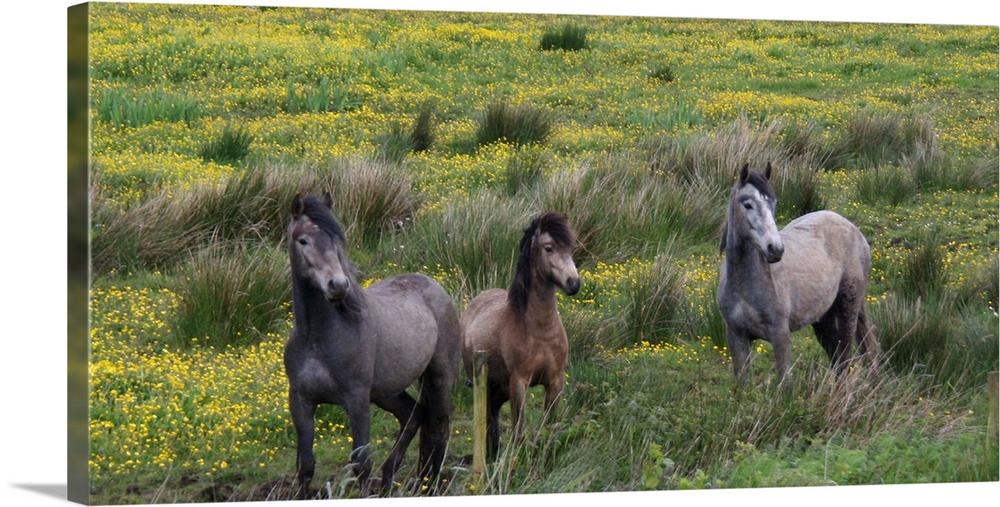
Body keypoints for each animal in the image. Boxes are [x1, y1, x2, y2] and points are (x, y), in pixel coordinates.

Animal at [284, 194, 458, 500]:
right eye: (303, 240)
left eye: (336, 239)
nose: (337, 285)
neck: (317, 338)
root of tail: (434, 285)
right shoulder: (301, 400)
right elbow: (306, 465)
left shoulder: (357, 399)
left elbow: (361, 462)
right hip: (386, 392)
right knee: (413, 416)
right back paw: (389, 479)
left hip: (438, 378)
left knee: (439, 427)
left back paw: (430, 483)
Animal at [458, 212, 580, 458]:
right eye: (549, 248)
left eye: (570, 248)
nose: (574, 283)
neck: (540, 332)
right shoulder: (519, 382)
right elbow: (518, 430)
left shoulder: (555, 382)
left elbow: (549, 426)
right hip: (485, 385)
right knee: (488, 419)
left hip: (500, 388)